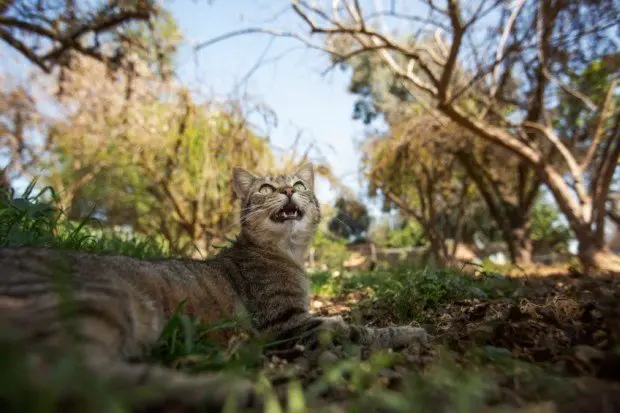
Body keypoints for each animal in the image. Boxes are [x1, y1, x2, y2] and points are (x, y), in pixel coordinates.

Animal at [0, 164, 426, 408]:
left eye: (298, 183)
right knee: (82, 380)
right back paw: (253, 392)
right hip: (100, 302)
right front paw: (408, 330)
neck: (286, 253)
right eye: (267, 187)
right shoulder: (286, 323)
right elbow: (356, 329)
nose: (289, 191)